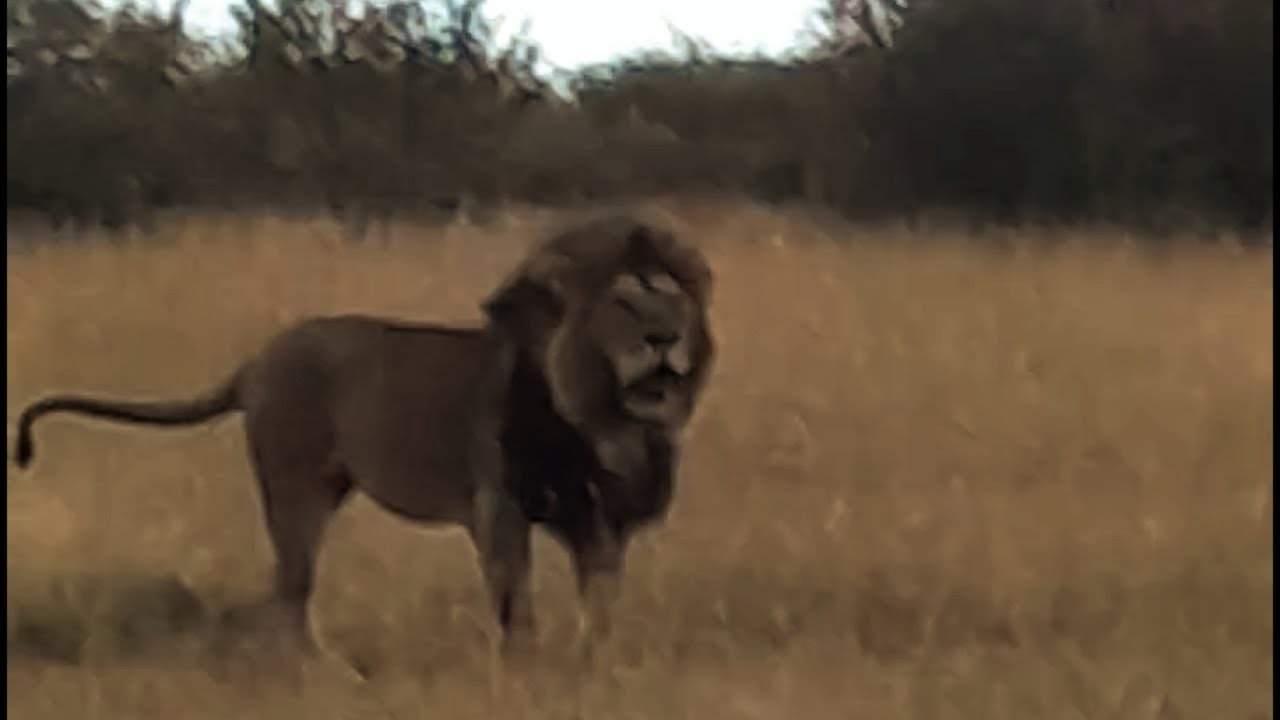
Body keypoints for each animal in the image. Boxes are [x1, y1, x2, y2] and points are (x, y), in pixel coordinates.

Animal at [11, 215, 715, 666]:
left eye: (675, 306)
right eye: (625, 307)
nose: (664, 340)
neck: (603, 417)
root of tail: (258, 360)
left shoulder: (599, 518)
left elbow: (601, 599)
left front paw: (598, 662)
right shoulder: (499, 505)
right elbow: (516, 599)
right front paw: (527, 668)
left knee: (285, 591)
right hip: (294, 486)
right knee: (290, 589)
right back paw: (317, 673)